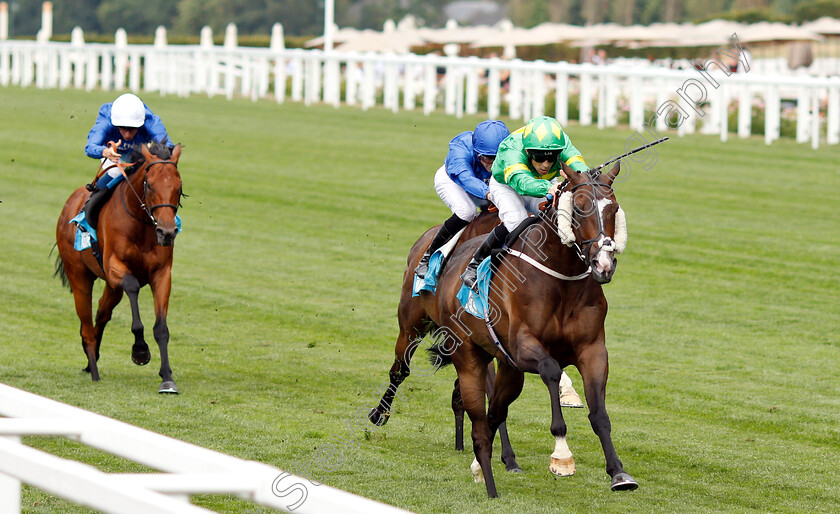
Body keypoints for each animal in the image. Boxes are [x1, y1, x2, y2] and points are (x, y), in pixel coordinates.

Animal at [54, 142, 184, 390]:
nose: (167, 232)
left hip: (111, 287)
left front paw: (167, 378)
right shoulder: (116, 267)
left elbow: (161, 328)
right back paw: (94, 370)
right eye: (149, 185)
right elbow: (132, 287)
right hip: (79, 277)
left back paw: (91, 360)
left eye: (179, 187)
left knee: (101, 314)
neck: (142, 227)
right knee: (86, 327)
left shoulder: (162, 274)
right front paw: (140, 350)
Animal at [370, 161, 632, 496]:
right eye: (579, 208)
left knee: (487, 406)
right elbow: (550, 370)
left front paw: (618, 473)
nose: (603, 264)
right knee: (401, 369)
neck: (562, 279)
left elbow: (599, 412)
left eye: (614, 209)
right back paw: (379, 413)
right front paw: (561, 454)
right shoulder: (521, 346)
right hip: (415, 325)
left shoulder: (592, 349)